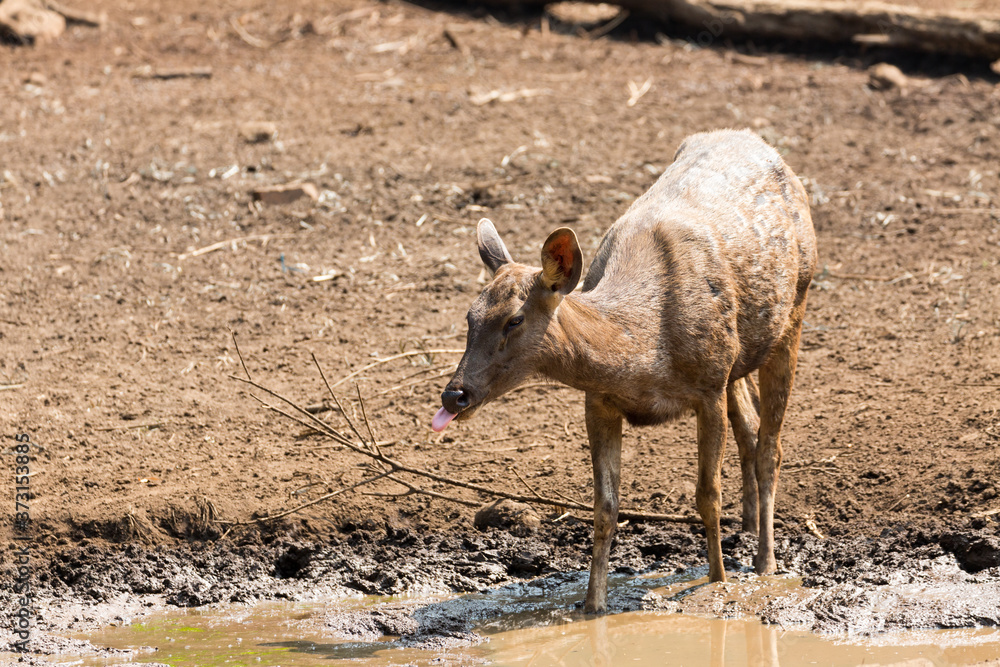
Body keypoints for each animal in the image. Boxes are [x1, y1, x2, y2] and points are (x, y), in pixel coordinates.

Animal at [430, 129, 817, 614]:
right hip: (741, 352)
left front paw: (717, 582)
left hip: (794, 312)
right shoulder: (598, 400)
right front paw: (592, 606)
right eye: (469, 316)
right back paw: (746, 529)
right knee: (748, 424)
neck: (646, 353)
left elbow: (707, 495)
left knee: (771, 446)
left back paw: (765, 561)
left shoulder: (708, 385)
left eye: (515, 320)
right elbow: (605, 507)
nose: (454, 395)